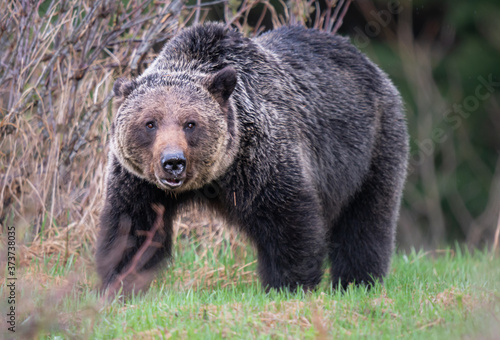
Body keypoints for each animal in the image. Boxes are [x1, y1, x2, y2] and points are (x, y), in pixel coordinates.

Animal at [95, 23, 408, 292]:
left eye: (190, 123)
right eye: (150, 123)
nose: (173, 162)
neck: (215, 177)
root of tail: (370, 65)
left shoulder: (261, 161)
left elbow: (289, 222)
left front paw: (289, 284)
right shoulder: (139, 181)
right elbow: (132, 228)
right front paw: (119, 283)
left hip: (371, 145)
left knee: (365, 219)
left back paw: (358, 281)